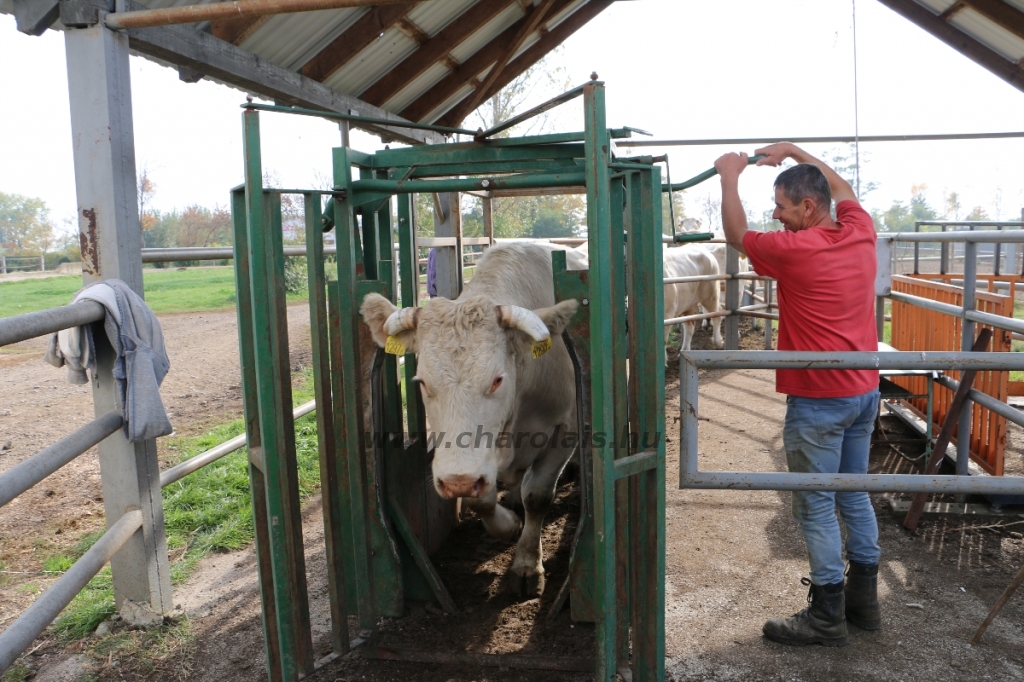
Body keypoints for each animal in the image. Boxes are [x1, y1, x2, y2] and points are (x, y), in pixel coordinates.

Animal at [360, 241, 585, 593]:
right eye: (421, 381)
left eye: (497, 379)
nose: (458, 481)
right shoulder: (480, 465)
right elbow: (481, 500)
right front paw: (508, 523)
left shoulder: (565, 429)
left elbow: (537, 496)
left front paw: (526, 565)